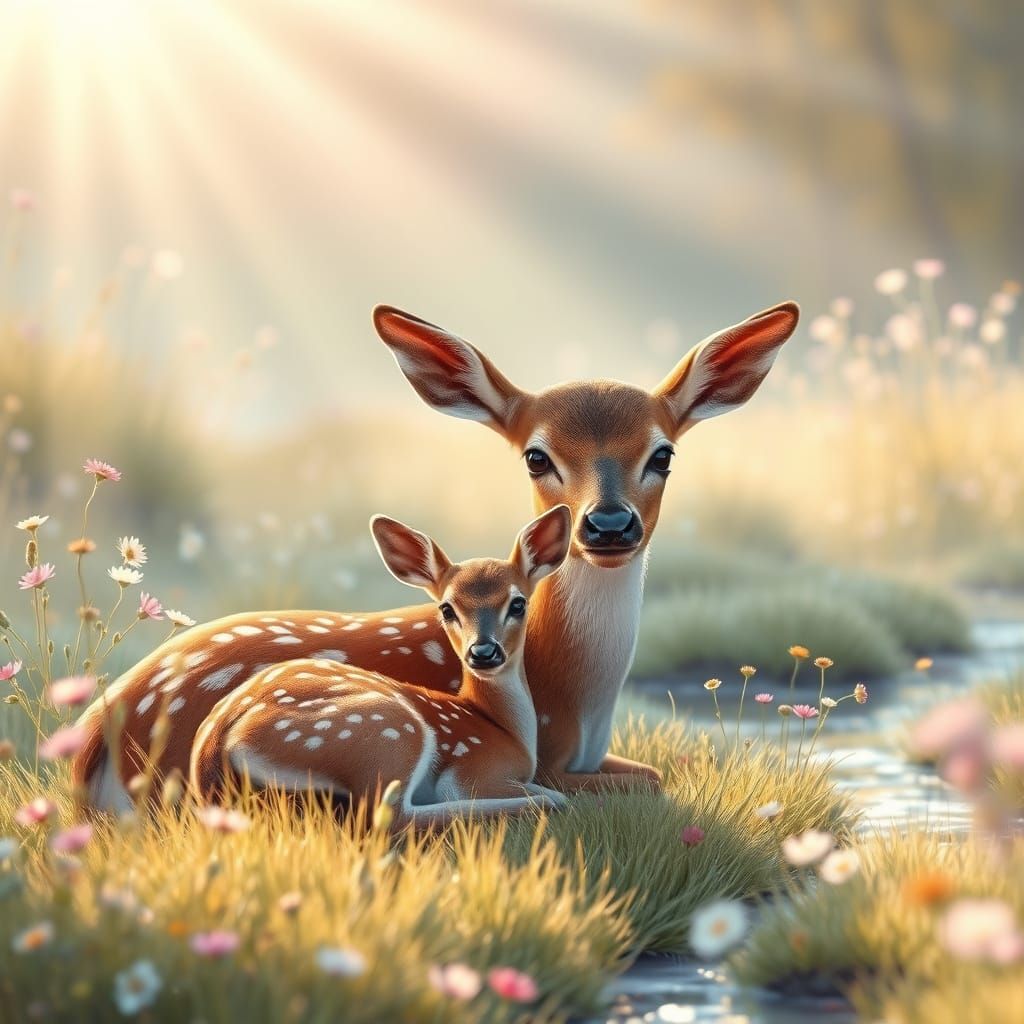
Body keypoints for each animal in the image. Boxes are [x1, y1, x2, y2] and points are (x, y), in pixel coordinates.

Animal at [188, 507, 573, 826]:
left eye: (518, 603)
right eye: (447, 608)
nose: (483, 652)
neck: (504, 728)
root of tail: (213, 746)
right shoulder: (475, 769)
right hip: (387, 733)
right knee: (389, 817)